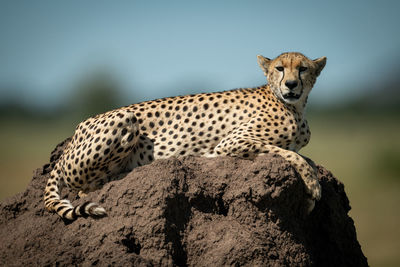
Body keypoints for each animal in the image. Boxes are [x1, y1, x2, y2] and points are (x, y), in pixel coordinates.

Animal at [43, 52, 324, 222]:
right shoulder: (230, 143)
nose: (291, 85)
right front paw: (313, 189)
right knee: (83, 189)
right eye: (280, 68)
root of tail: (75, 132)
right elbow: (290, 155)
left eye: (303, 69)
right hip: (124, 119)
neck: (295, 107)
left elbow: (301, 155)